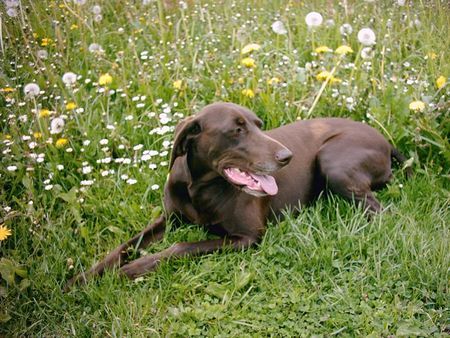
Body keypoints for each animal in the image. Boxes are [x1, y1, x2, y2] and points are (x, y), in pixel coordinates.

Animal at [66, 101, 408, 290]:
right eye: (237, 130)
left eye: (259, 125)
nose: (287, 156)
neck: (200, 187)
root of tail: (386, 140)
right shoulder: (169, 218)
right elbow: (125, 245)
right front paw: (82, 279)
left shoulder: (246, 238)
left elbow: (180, 246)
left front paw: (131, 270)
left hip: (332, 162)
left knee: (380, 211)